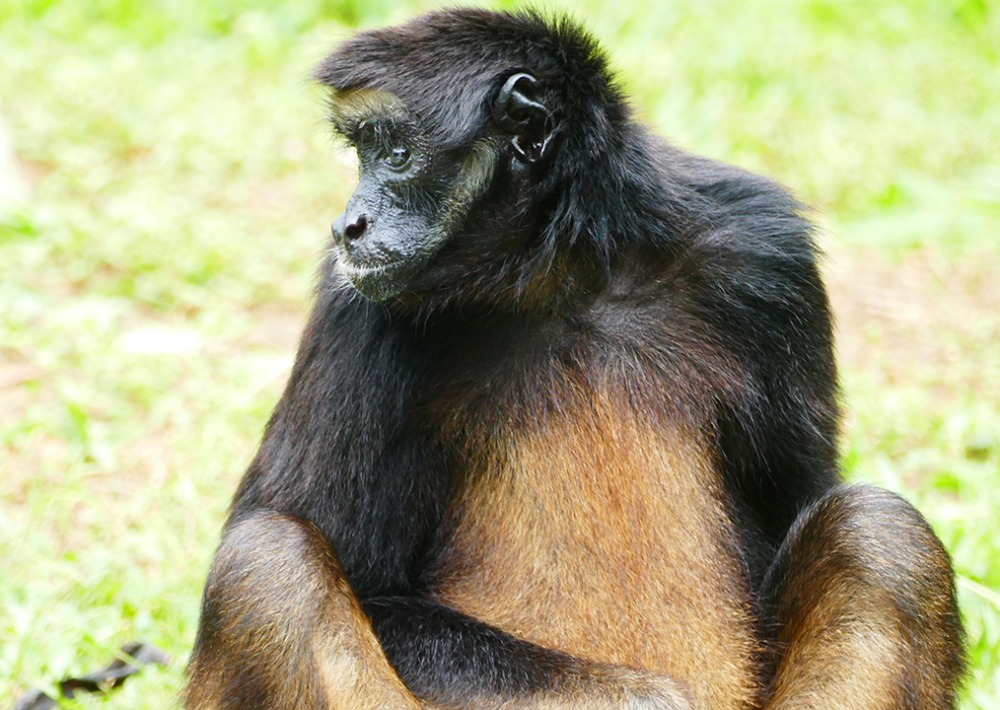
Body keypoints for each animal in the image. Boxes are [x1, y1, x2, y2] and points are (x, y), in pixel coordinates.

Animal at [184, 8, 964, 709]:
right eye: (362, 152)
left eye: (396, 155)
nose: (348, 224)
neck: (565, 276)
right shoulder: (354, 299)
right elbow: (352, 575)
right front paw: (643, 700)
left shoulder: (764, 249)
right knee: (267, 563)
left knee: (879, 532)